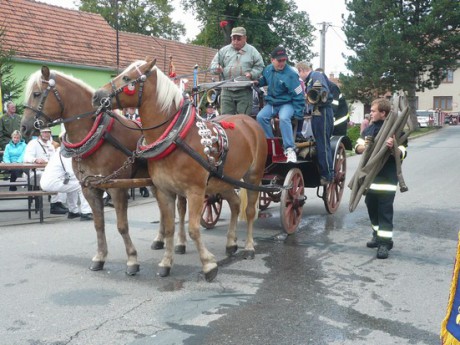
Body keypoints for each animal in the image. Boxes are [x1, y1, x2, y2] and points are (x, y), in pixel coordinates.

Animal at [21, 65, 187, 274]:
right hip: (154, 182)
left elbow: (122, 226)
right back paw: (160, 239)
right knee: (163, 209)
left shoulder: (116, 188)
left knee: (181, 208)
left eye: (36, 94)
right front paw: (100, 257)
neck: (97, 135)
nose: (23, 127)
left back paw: (180, 243)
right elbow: (98, 224)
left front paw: (132, 260)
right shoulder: (90, 188)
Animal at [91, 58, 268, 280]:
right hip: (224, 180)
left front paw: (208, 264)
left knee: (250, 211)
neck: (176, 137)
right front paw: (166, 262)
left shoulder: (195, 192)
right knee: (235, 204)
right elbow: (168, 228)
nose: (97, 96)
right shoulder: (165, 191)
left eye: (127, 78)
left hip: (254, 176)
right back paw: (231, 243)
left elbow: (193, 228)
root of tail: (249, 121)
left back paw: (249, 247)